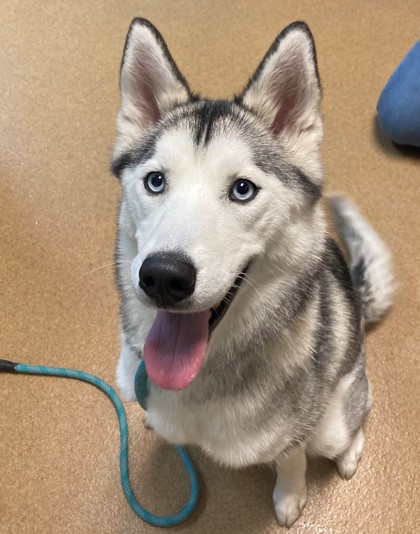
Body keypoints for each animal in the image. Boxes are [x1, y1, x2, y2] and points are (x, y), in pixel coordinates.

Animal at [110, 19, 394, 528]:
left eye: (243, 190)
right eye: (155, 181)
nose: (163, 276)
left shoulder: (295, 432)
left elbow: (291, 459)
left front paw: (289, 497)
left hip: (337, 418)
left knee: (358, 414)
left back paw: (348, 454)